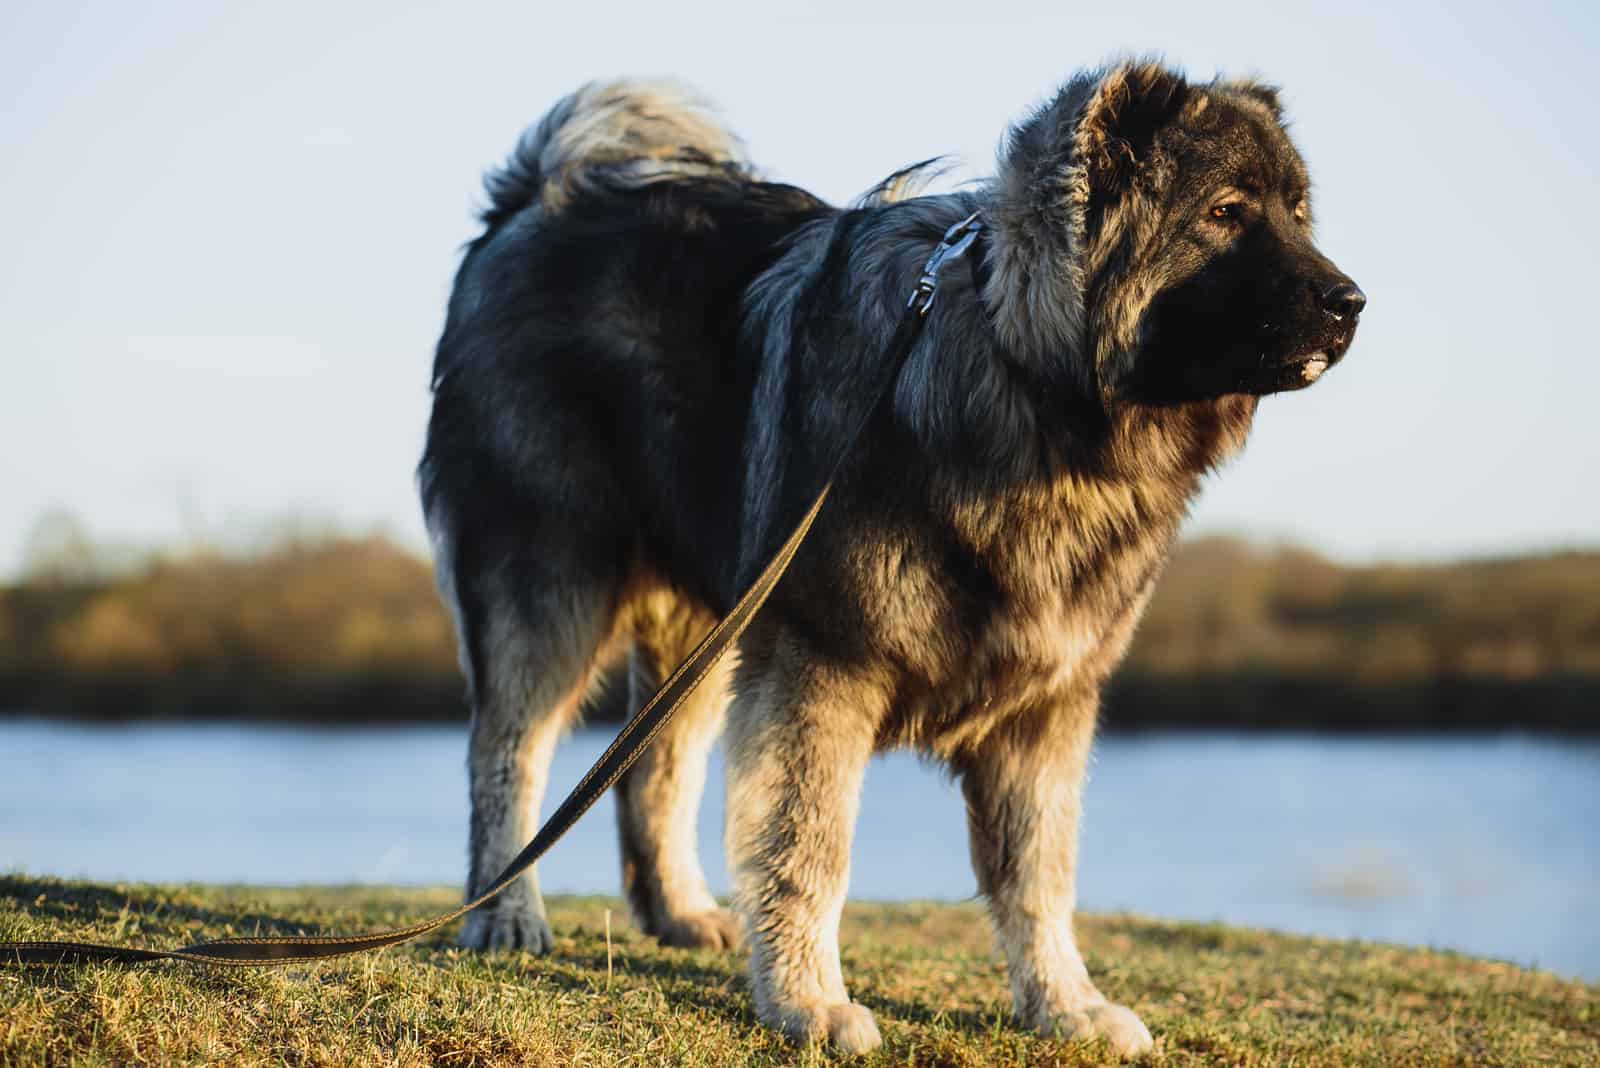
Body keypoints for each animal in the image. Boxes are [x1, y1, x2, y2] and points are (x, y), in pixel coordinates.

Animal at [422, 62, 1363, 1055]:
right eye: (1226, 212)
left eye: (1299, 214)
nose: (1352, 301)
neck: (1032, 397)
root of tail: (532, 198)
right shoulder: (821, 667)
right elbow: (809, 847)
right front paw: (809, 1003)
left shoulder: (1045, 705)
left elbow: (1040, 874)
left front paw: (1064, 1005)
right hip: (548, 580)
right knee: (508, 753)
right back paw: (505, 914)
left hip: (708, 624)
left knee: (652, 767)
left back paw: (677, 913)